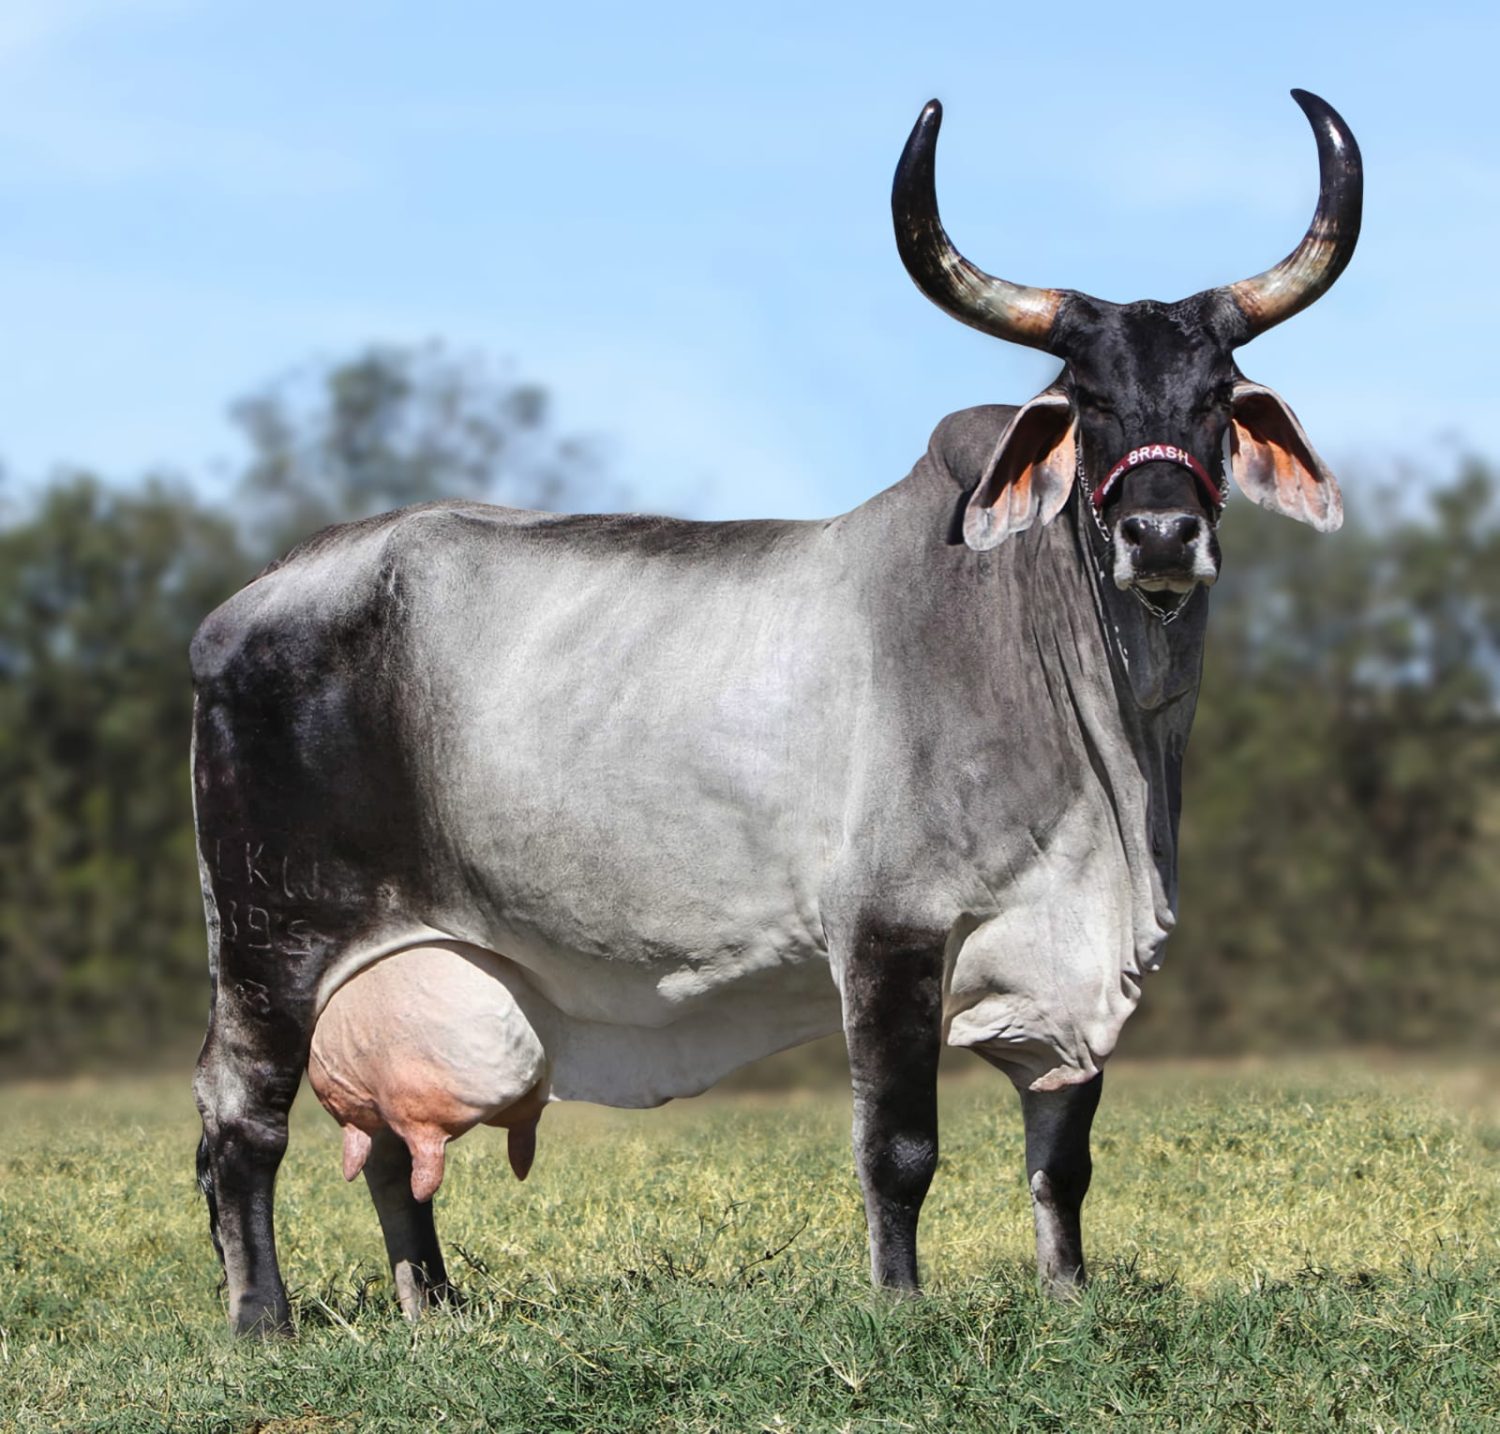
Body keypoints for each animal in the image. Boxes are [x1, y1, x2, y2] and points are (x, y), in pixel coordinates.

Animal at [187, 92, 1362, 1332]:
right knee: (240, 1120)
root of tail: (268, 584)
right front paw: (899, 1305)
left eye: (1217, 400)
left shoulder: (1066, 971)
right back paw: (262, 1321)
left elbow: (1062, 1157)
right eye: (1086, 404)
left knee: (386, 1152)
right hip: (270, 941)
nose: (1161, 534)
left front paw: (1069, 1295)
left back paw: (435, 1309)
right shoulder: (890, 931)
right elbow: (899, 1149)